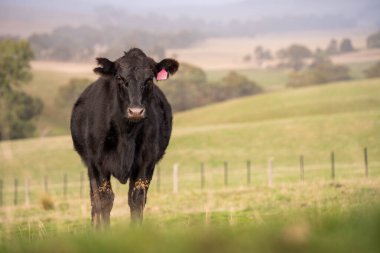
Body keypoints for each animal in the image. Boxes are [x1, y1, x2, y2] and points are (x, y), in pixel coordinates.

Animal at [70, 48, 180, 227]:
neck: (126, 133)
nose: (135, 111)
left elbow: (137, 199)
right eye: (120, 78)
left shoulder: (146, 162)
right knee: (94, 200)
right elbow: (104, 200)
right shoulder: (98, 163)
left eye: (149, 79)